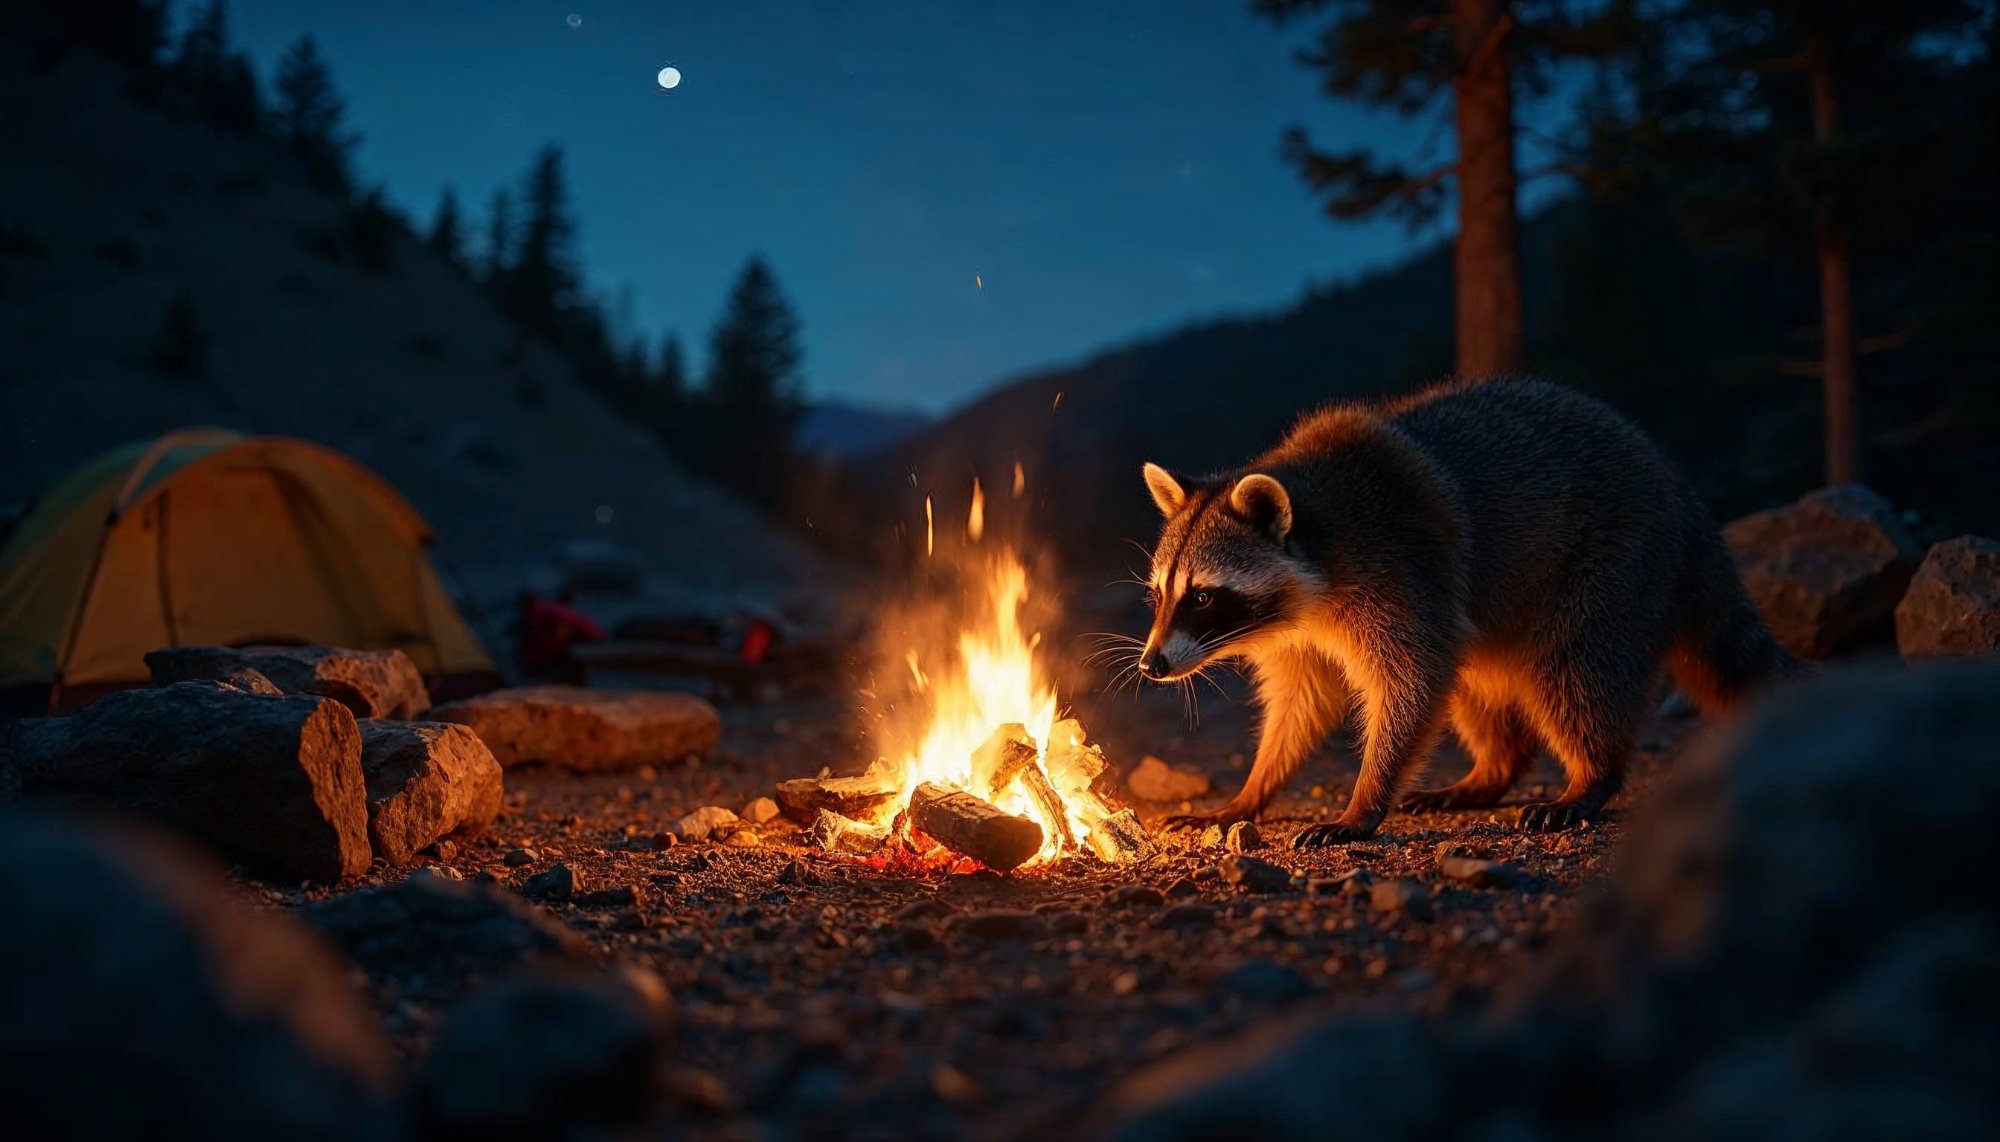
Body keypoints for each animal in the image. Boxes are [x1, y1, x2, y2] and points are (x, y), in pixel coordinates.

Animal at [1136, 378, 1799, 845]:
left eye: (1202, 595)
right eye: (1160, 593)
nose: (1150, 666)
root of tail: (1684, 498)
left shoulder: (1400, 573)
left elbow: (1410, 682)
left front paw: (1365, 798)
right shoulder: (1298, 632)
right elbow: (1303, 702)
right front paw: (1254, 788)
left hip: (1613, 564)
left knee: (1576, 671)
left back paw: (1591, 775)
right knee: (1473, 680)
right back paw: (1495, 768)